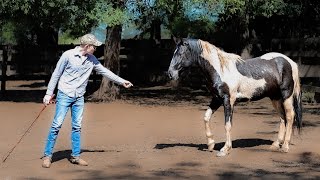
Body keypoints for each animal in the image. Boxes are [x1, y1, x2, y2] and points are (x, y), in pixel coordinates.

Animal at [168, 38, 302, 157]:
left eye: (180, 53)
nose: (170, 73)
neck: (221, 70)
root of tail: (290, 62)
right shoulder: (217, 99)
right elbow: (206, 117)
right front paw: (211, 144)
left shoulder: (228, 100)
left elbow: (227, 124)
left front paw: (225, 150)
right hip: (275, 98)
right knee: (282, 117)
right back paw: (275, 145)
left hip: (286, 95)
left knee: (290, 116)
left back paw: (285, 146)